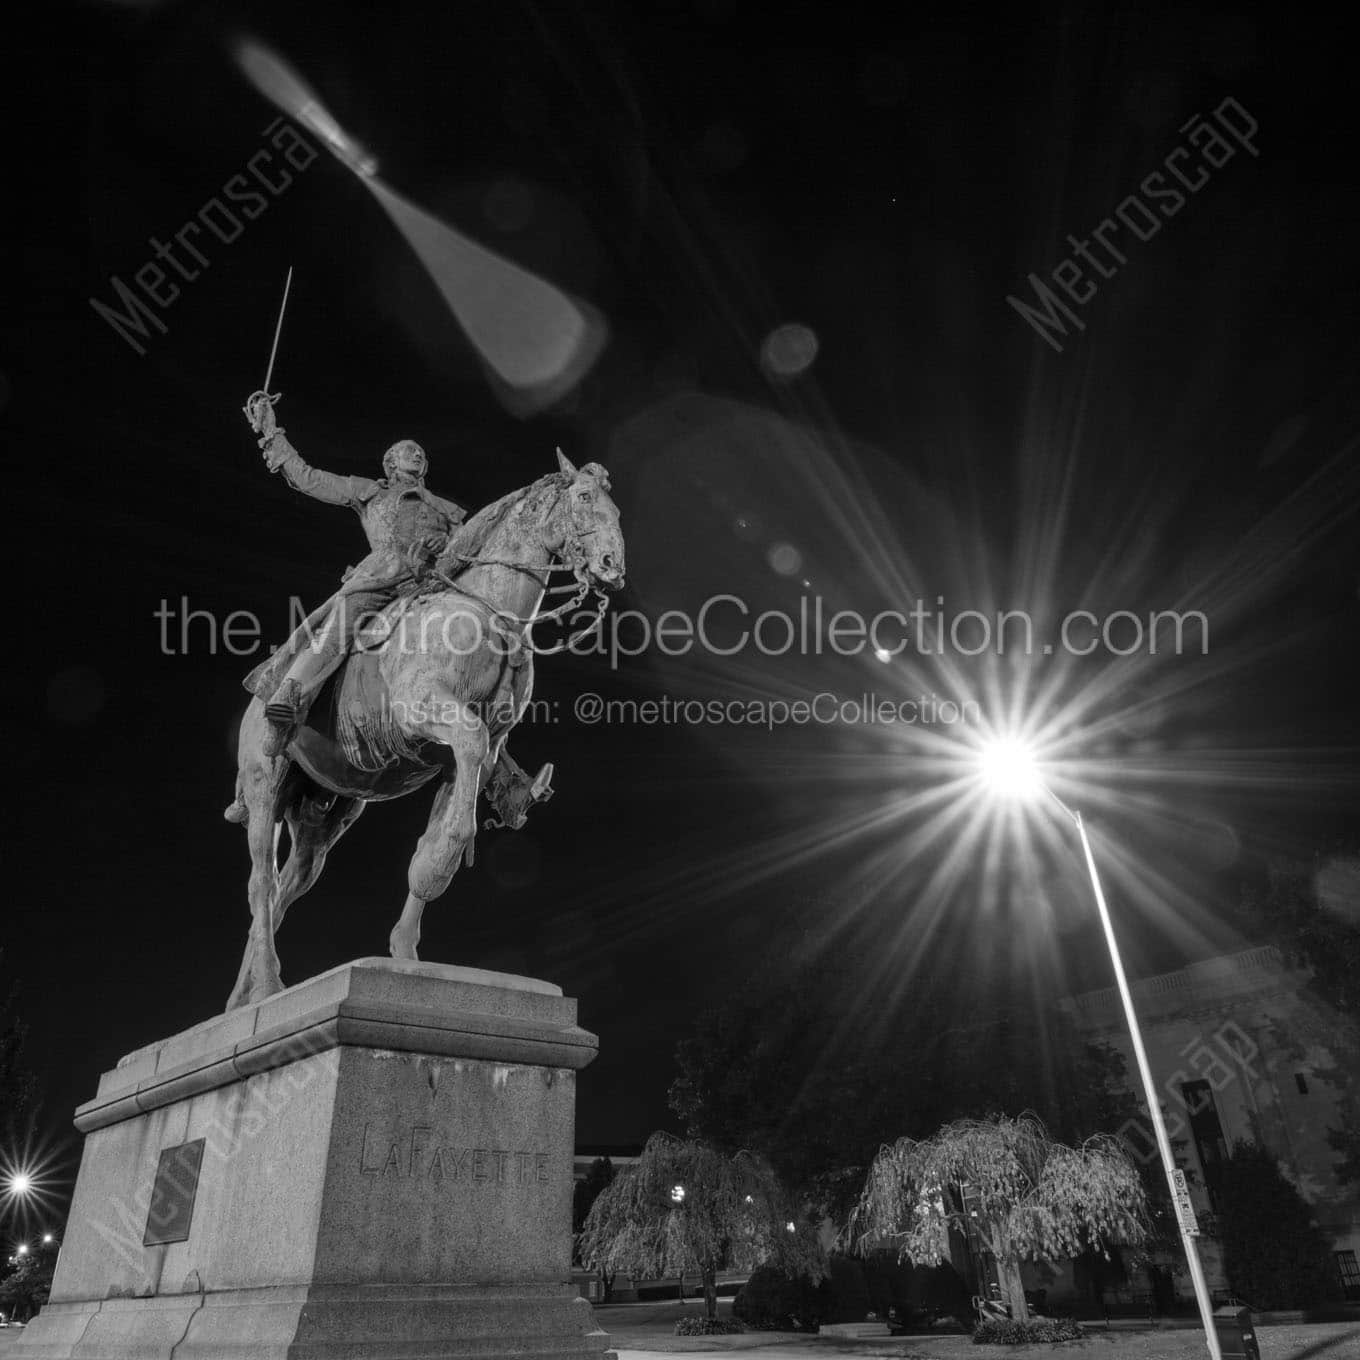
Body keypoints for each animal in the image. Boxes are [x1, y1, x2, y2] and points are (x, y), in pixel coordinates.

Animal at [223, 451, 625, 1017]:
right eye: (585, 497)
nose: (612, 565)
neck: (486, 612)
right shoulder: (428, 714)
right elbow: (458, 798)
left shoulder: (475, 751)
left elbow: (441, 826)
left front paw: (408, 948)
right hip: (265, 784)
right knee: (260, 880)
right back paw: (264, 986)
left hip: (324, 814)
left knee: (285, 887)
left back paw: (243, 997)